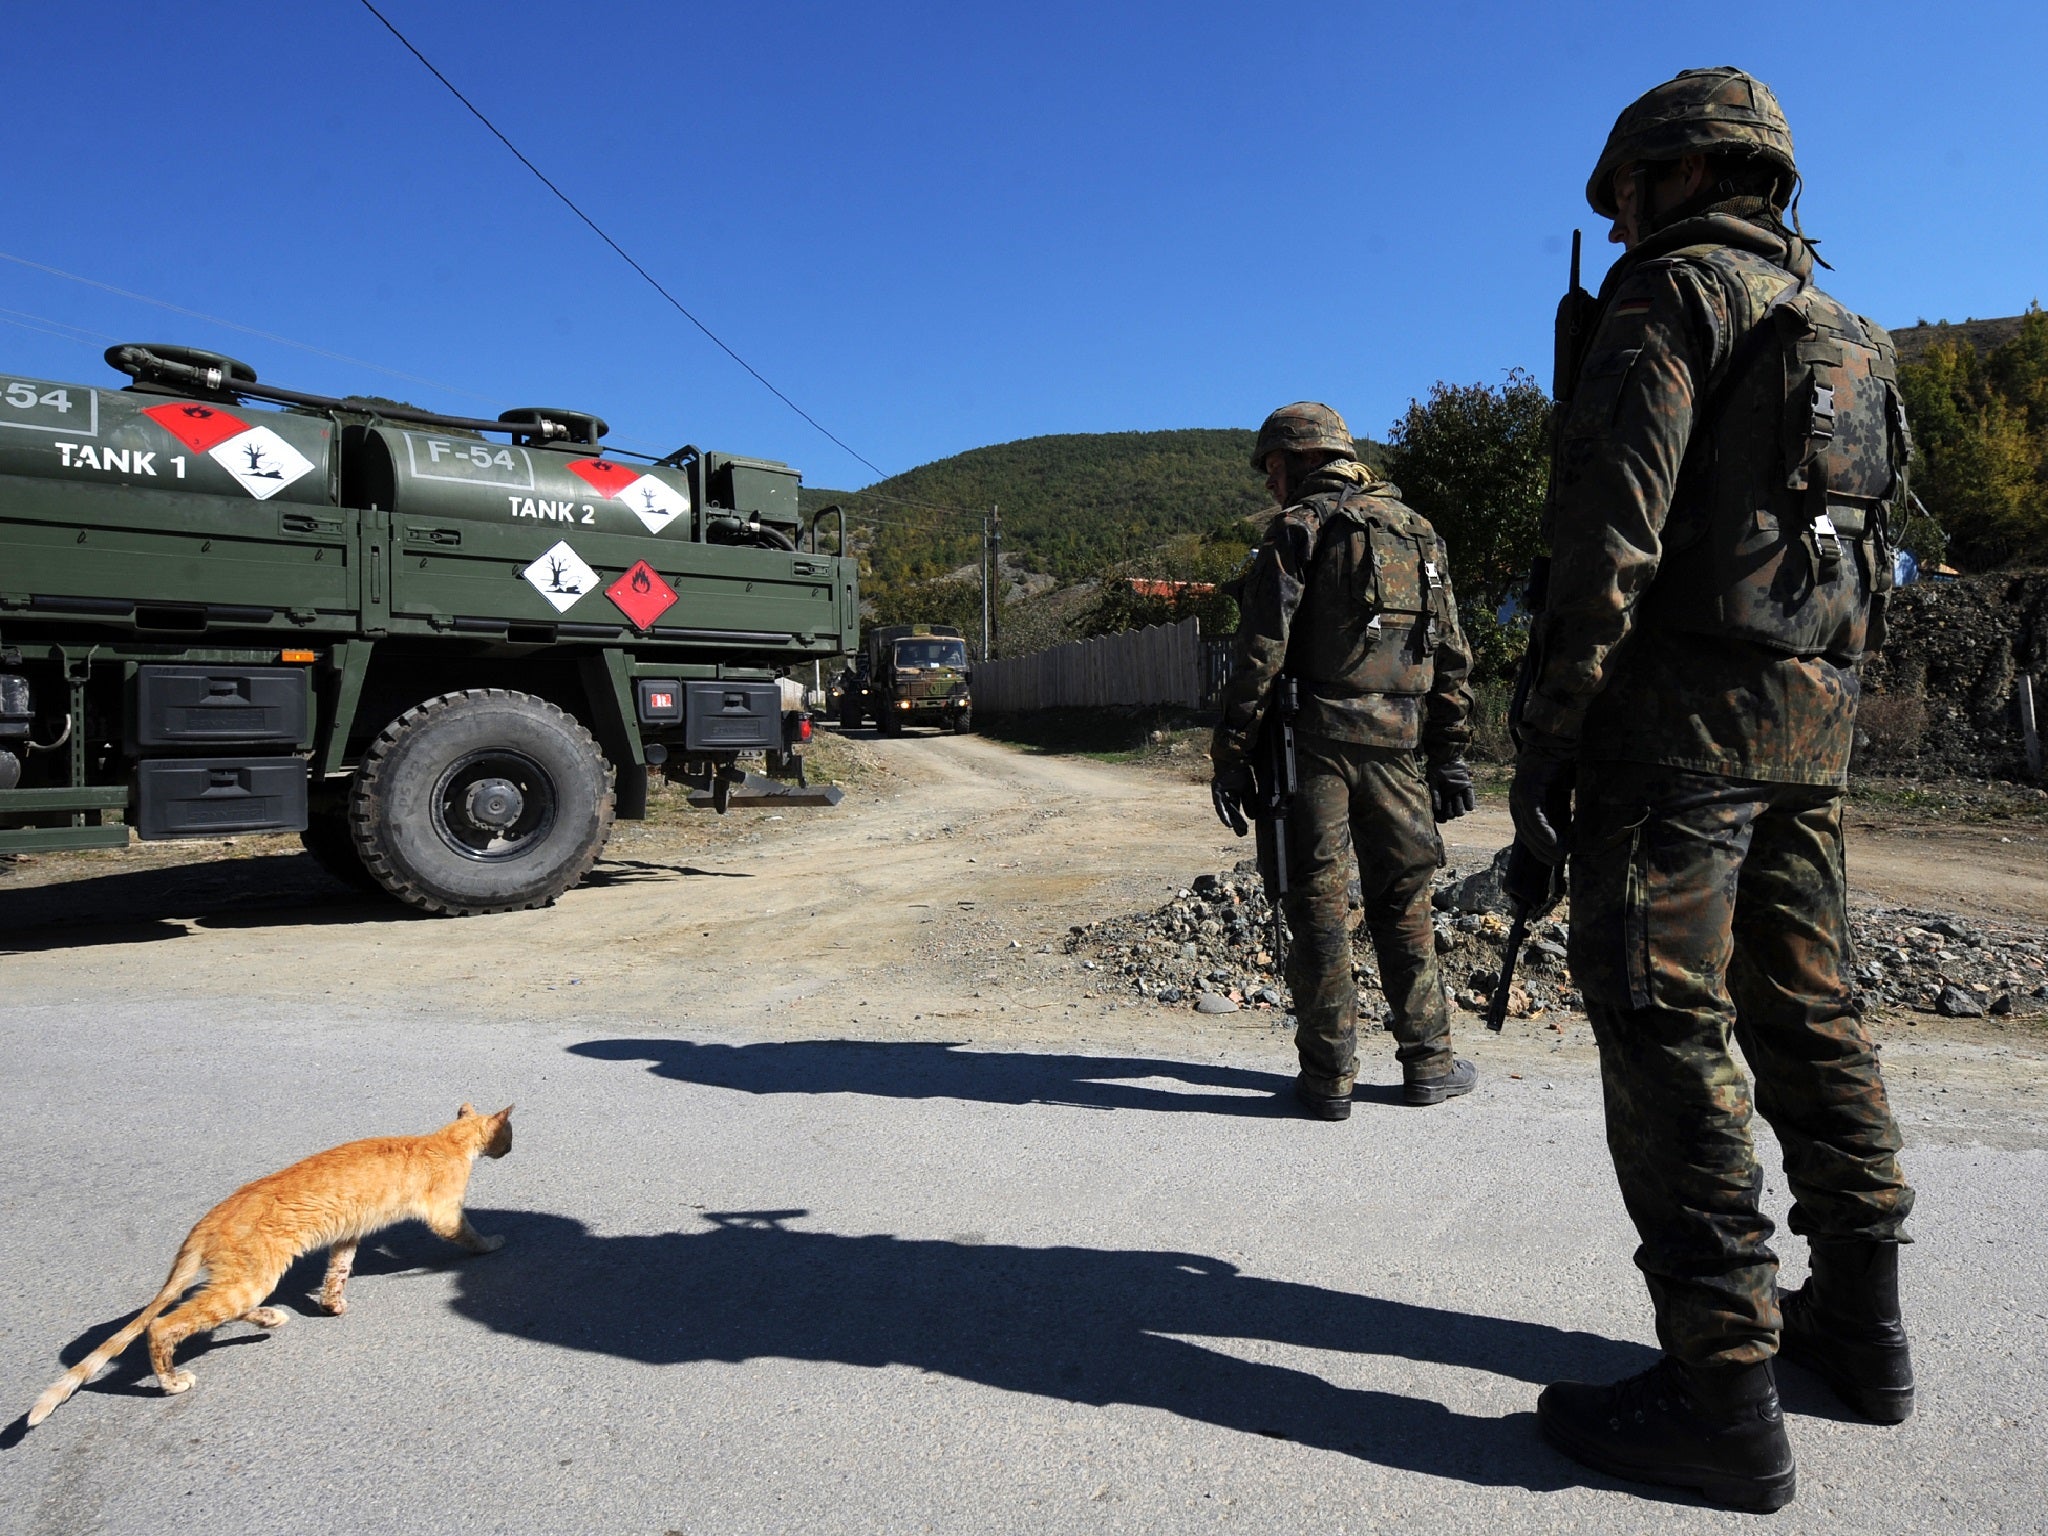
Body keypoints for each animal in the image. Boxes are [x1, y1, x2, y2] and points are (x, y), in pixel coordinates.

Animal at [25, 1097, 512, 1425]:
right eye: (510, 1135)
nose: (510, 1150)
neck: (444, 1140)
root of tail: (207, 1219)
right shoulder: (445, 1215)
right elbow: (471, 1237)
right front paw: (494, 1242)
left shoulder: (347, 1235)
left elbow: (338, 1271)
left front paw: (331, 1304)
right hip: (249, 1279)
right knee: (164, 1326)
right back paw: (173, 1381)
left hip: (243, 1281)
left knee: (212, 1310)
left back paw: (269, 1318)